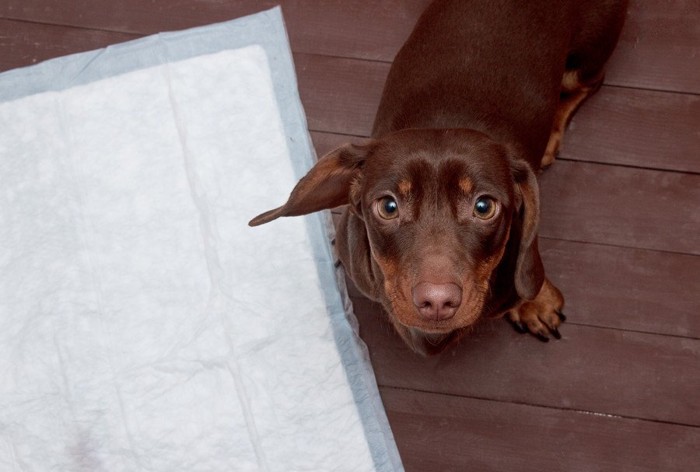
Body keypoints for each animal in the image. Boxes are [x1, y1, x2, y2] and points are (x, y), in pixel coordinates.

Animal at [249, 0, 628, 354]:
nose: (436, 303)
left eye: (484, 206)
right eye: (388, 206)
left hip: (586, 57)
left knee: (590, 83)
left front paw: (534, 300)